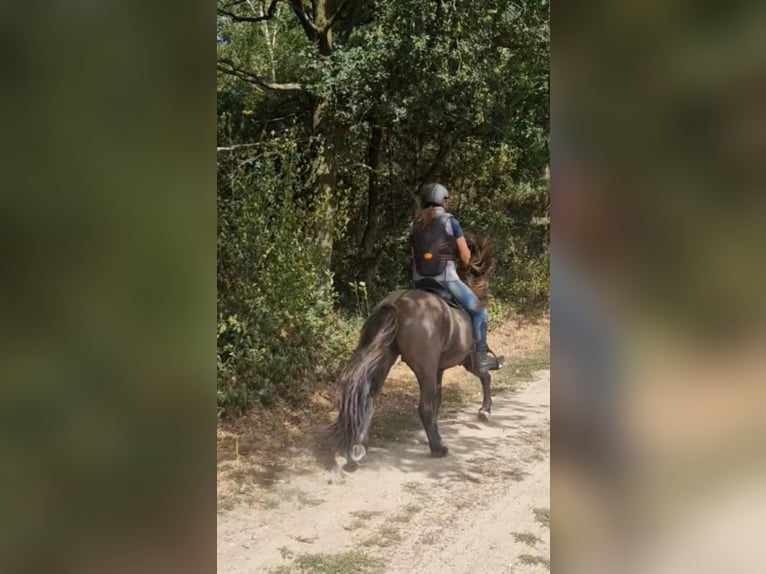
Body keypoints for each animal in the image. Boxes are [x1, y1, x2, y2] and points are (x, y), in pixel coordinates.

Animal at [329, 234, 503, 463]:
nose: (485, 296)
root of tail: (397, 304)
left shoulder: (439, 369)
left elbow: (439, 399)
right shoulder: (468, 359)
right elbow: (485, 376)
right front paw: (485, 410)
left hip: (385, 361)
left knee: (370, 398)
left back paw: (358, 447)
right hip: (425, 368)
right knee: (424, 408)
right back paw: (438, 448)